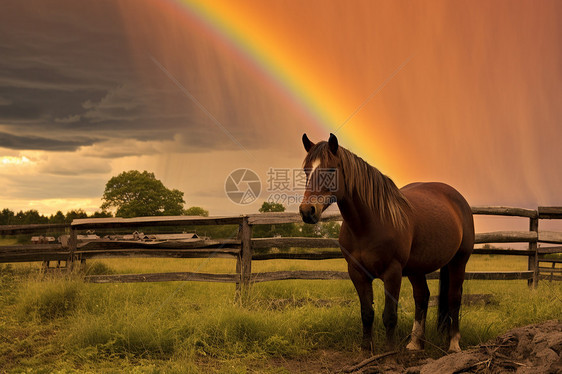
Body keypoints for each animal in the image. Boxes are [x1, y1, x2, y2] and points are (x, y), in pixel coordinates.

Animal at [298, 134, 472, 354]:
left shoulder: (392, 272)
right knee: (422, 297)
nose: (307, 211)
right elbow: (367, 313)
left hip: (458, 261)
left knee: (453, 298)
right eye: (306, 170)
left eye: (330, 170)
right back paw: (415, 343)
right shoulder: (357, 272)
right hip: (416, 269)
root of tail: (457, 199)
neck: (369, 224)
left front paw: (389, 355)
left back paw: (454, 344)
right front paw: (366, 351)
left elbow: (389, 316)